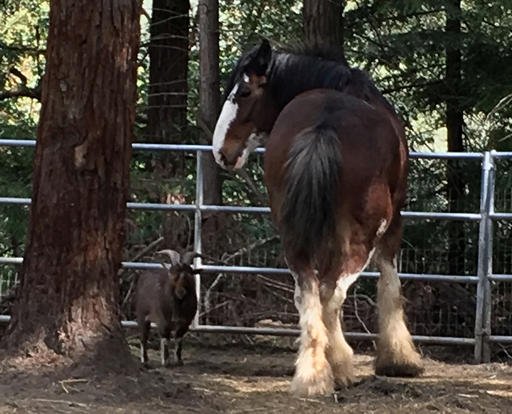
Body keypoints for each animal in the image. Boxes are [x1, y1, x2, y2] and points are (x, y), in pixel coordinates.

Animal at [210, 40, 422, 396]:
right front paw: (399, 358)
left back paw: (311, 375)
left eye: (244, 92)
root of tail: (325, 123)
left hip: (292, 233)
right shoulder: (394, 223)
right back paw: (338, 367)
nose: (221, 151)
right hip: (363, 236)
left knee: (307, 291)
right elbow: (390, 283)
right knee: (331, 292)